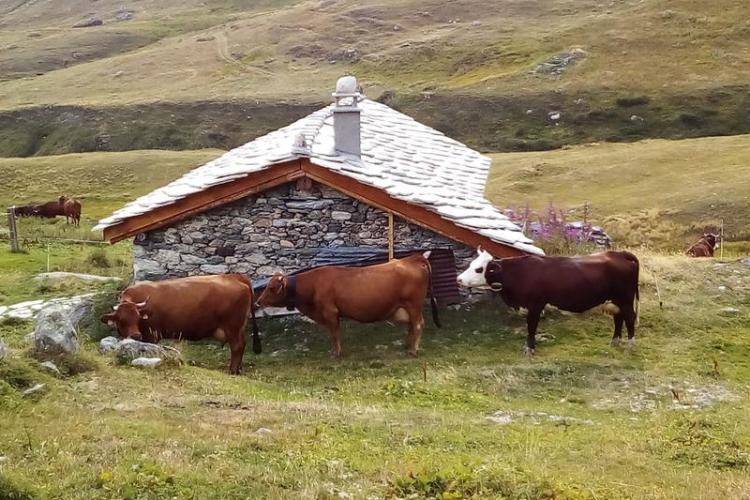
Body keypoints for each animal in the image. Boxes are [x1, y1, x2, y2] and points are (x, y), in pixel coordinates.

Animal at [100, 274, 261, 374]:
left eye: (138, 318)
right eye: (121, 320)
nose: (135, 335)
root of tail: (234, 276)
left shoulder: (151, 335)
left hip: (233, 327)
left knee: (237, 346)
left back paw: (232, 371)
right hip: (238, 328)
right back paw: (238, 369)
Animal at [256, 251, 440, 358]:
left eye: (271, 288)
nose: (258, 301)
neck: (313, 284)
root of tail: (413, 259)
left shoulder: (330, 312)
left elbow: (334, 334)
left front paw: (336, 353)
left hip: (414, 305)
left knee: (418, 325)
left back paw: (413, 350)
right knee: (411, 326)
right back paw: (407, 345)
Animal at [457, 248, 640, 353]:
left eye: (479, 269)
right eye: (471, 265)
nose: (458, 279)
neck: (518, 273)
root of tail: (619, 254)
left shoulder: (535, 305)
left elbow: (531, 326)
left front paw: (529, 348)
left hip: (625, 299)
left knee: (629, 318)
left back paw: (630, 346)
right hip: (615, 300)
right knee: (619, 318)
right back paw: (615, 342)